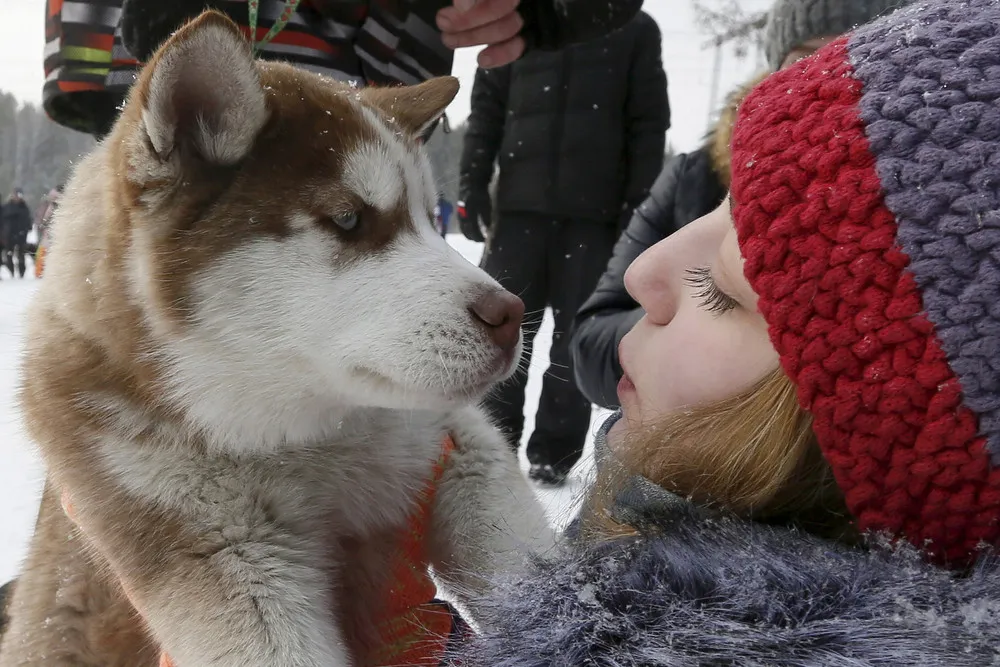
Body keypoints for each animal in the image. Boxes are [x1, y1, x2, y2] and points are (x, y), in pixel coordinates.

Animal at [0, 11, 552, 667]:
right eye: (349, 219)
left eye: (428, 220)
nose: (511, 314)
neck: (304, 431)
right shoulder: (211, 547)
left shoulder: (453, 441)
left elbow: (518, 548)